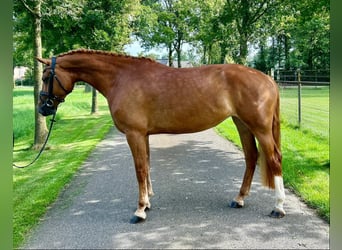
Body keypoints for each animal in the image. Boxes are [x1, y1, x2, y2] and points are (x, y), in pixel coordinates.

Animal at [37, 48, 284, 223]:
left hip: (260, 129)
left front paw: (139, 211)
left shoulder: (134, 134)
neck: (121, 78)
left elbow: (139, 169)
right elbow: (146, 165)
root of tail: (268, 79)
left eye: (46, 76)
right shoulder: (143, 134)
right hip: (242, 124)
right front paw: (146, 203)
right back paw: (239, 199)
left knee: (274, 160)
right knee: (251, 157)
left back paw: (278, 207)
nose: (42, 108)